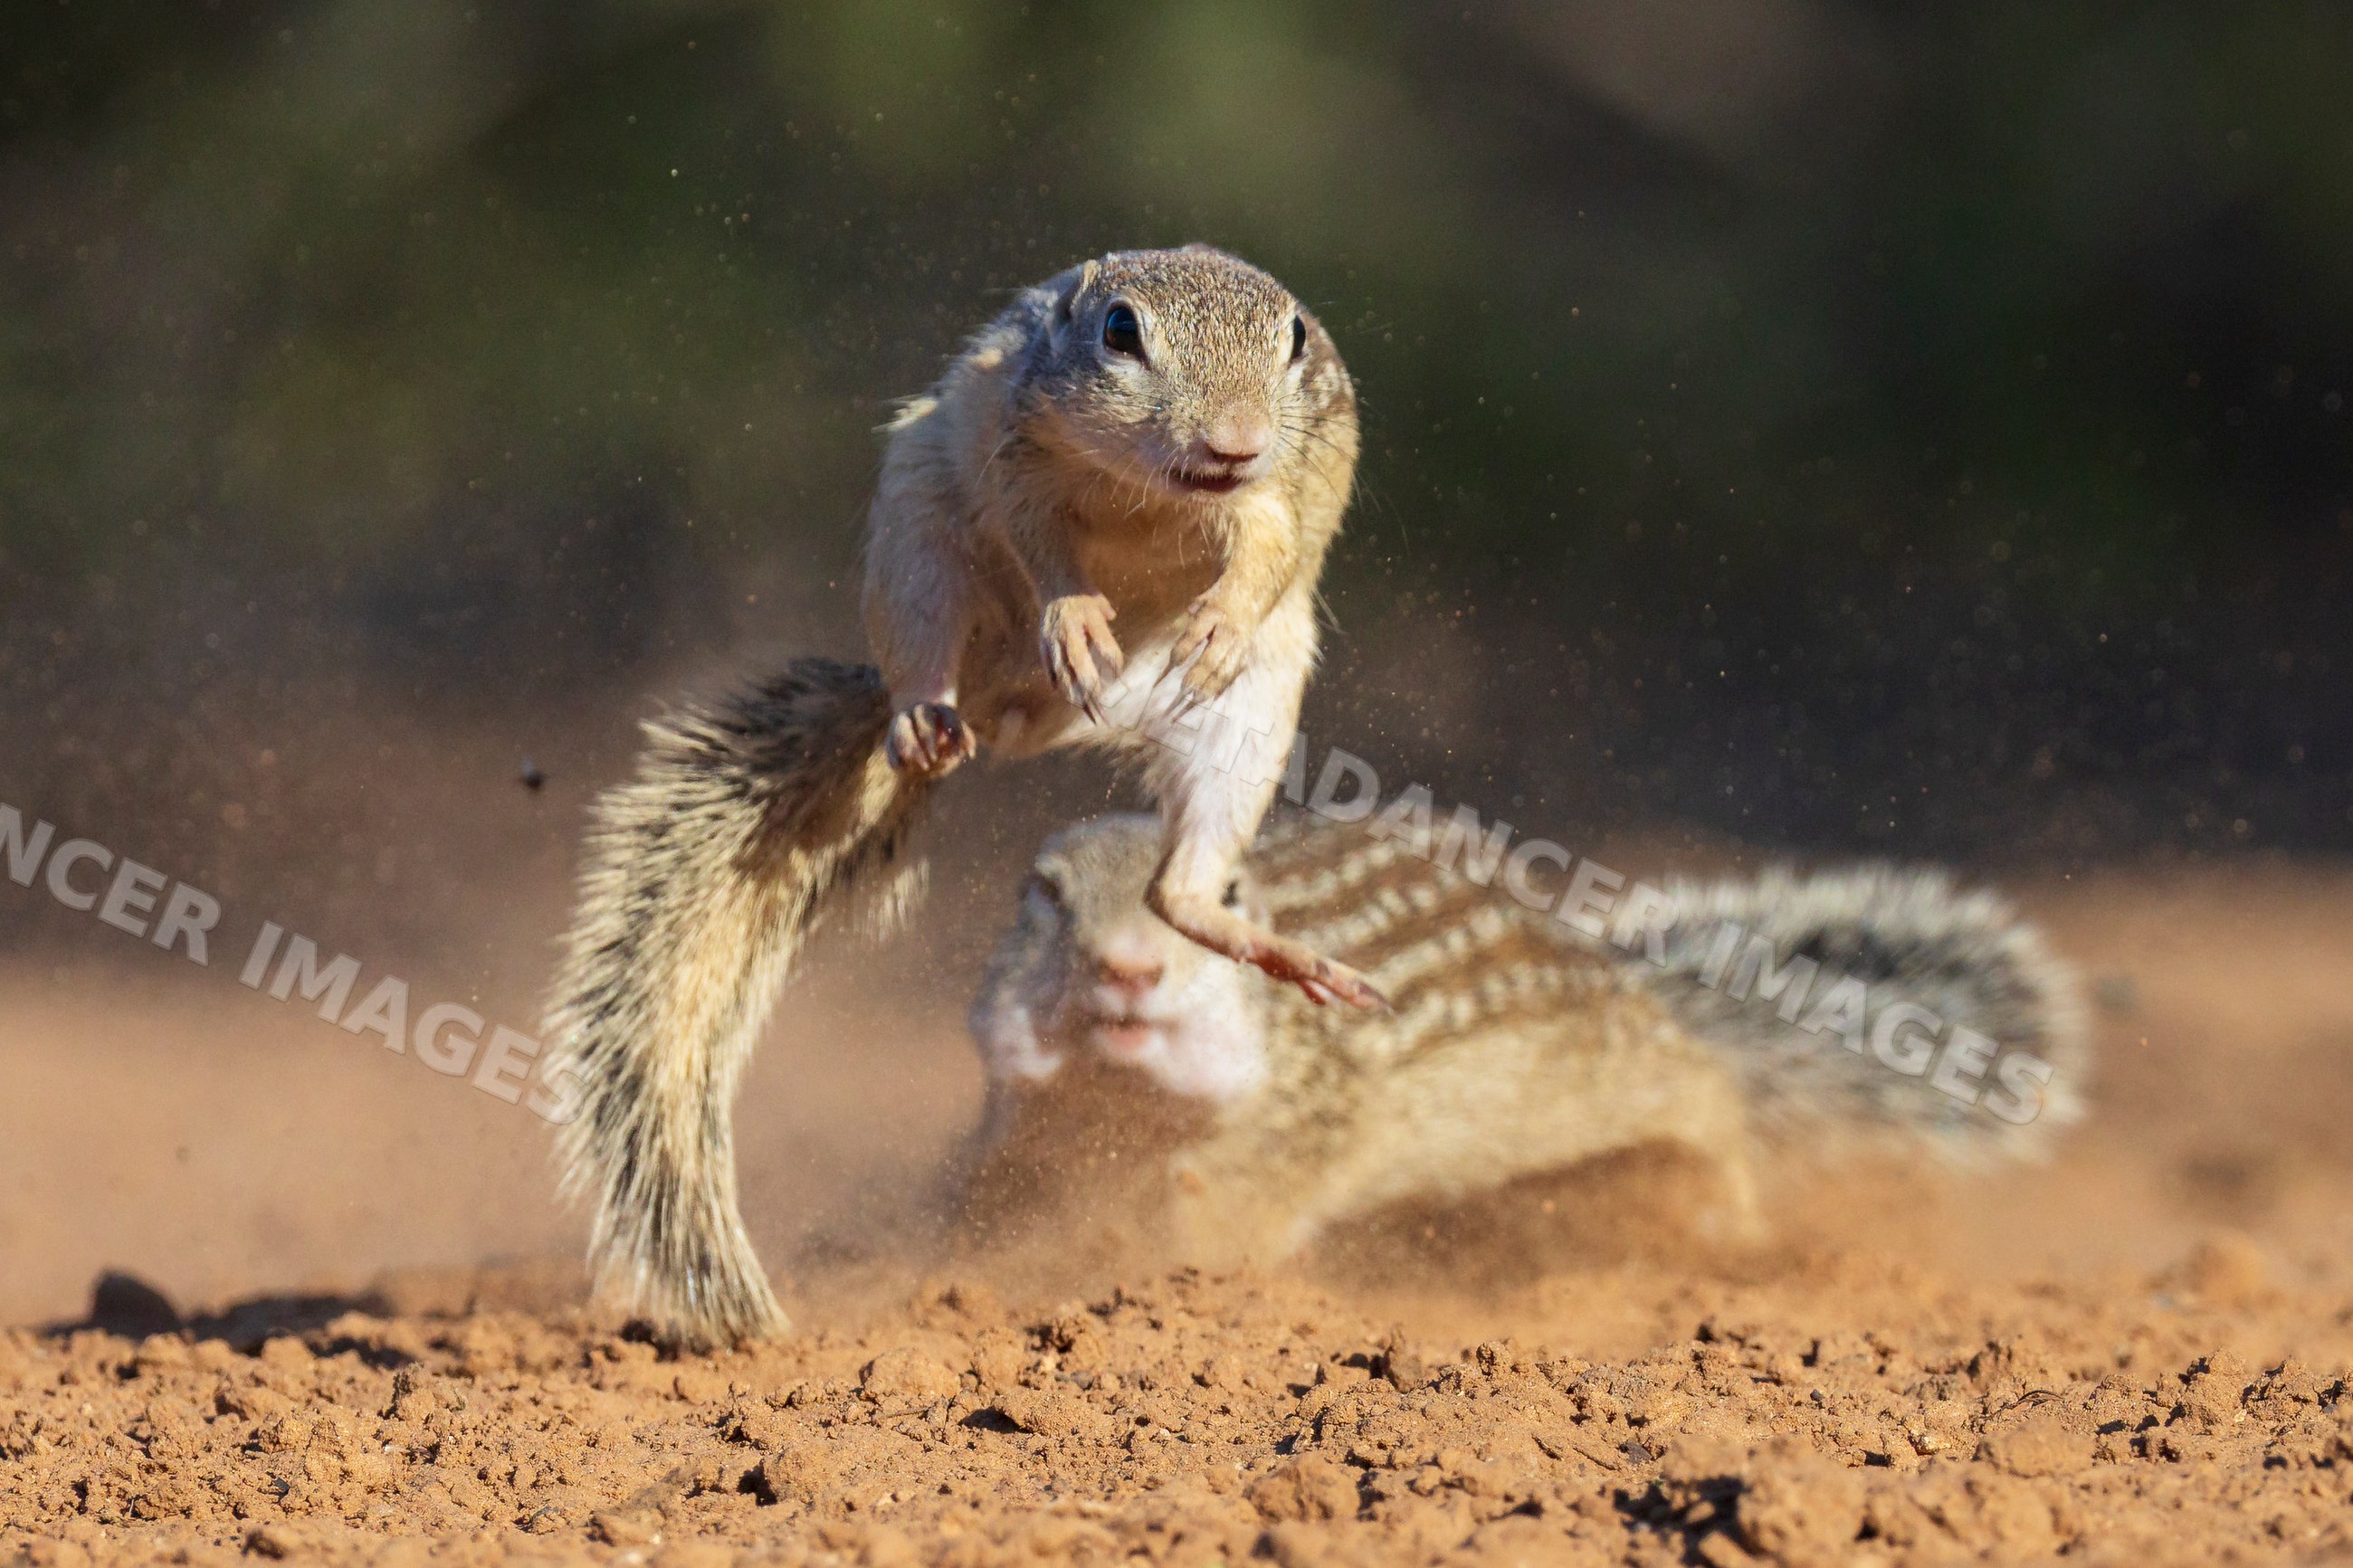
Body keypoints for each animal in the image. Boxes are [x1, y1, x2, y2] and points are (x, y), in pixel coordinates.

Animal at [543, 247, 1375, 1346]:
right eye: (1119, 331)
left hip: (1254, 712)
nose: (1232, 443)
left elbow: (1273, 547)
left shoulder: (1293, 479)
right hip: (919, 538)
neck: (1156, 490)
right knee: (925, 651)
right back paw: (924, 720)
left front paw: (1217, 625)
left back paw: (1269, 943)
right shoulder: (1020, 445)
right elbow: (1038, 535)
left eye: (1294, 340)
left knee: (1177, 889)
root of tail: (1014, 704)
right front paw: (1074, 614)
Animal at [962, 812, 2089, 1266]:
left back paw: (1728, 1222)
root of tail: (1618, 973)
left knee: (1711, 1102)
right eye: (1043, 893)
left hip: (1615, 1080)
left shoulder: (1297, 1118)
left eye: (1225, 898)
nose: (1126, 968)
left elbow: (1225, 1207)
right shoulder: (1024, 1124)